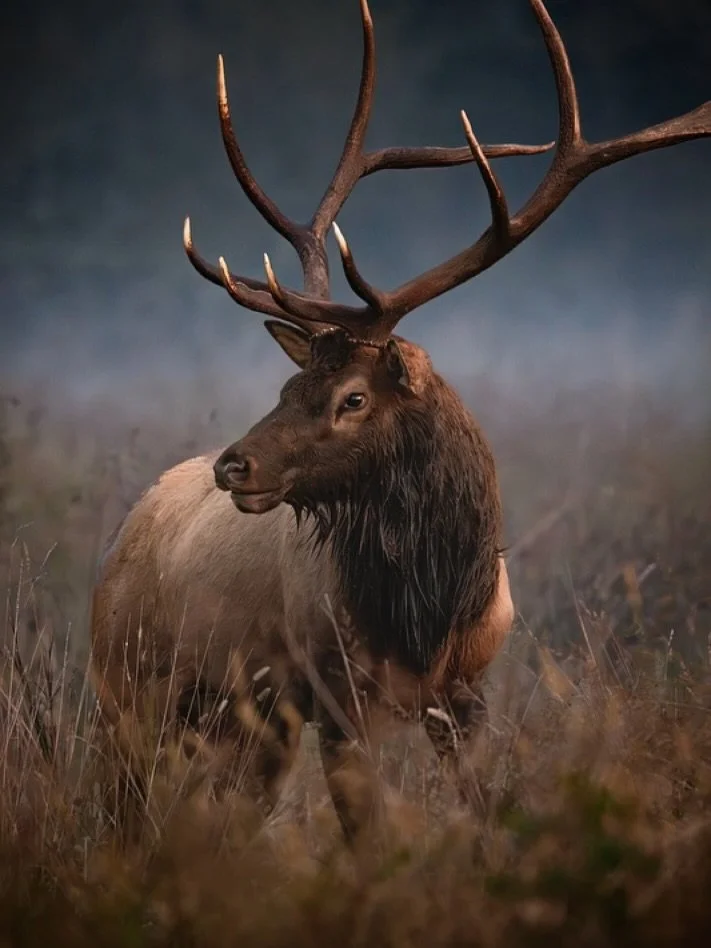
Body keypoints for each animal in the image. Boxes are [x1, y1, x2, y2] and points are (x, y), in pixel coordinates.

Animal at [90, 0, 710, 844]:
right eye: (291, 382)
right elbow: (367, 837)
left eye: (352, 397)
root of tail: (128, 528)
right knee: (124, 806)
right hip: (123, 687)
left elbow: (482, 812)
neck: (428, 610)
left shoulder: (465, 693)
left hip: (247, 720)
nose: (232, 466)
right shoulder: (336, 695)